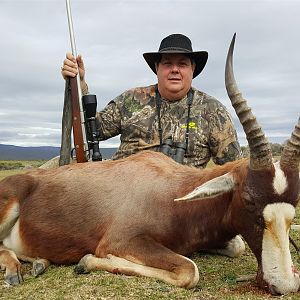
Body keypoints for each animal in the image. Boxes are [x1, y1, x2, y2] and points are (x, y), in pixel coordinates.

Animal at [0, 35, 298, 296]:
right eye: (248, 200)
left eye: (293, 205)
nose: (283, 285)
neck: (172, 194)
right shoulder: (121, 241)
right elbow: (190, 270)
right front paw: (86, 262)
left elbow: (233, 247)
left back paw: (39, 262)